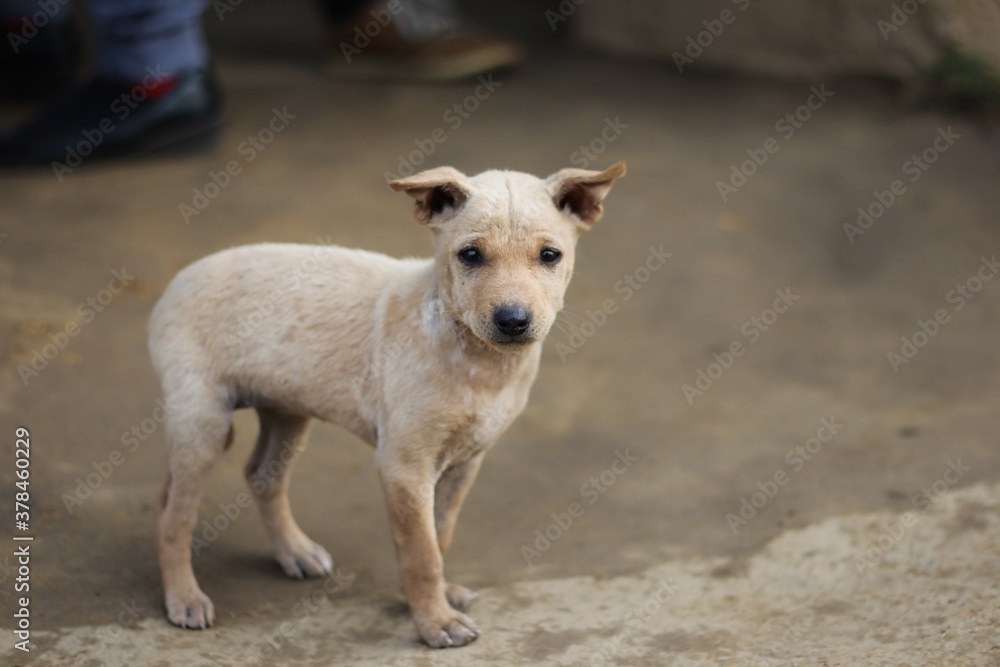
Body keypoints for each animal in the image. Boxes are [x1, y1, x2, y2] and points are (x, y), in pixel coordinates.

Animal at [148, 162, 624, 648]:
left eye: (550, 256)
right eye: (470, 255)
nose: (512, 320)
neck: (477, 361)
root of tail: (179, 279)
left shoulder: (464, 462)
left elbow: (440, 535)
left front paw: (439, 599)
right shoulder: (403, 466)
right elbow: (421, 552)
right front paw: (435, 621)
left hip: (287, 412)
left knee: (262, 476)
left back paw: (294, 552)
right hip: (203, 423)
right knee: (172, 516)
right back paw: (184, 597)